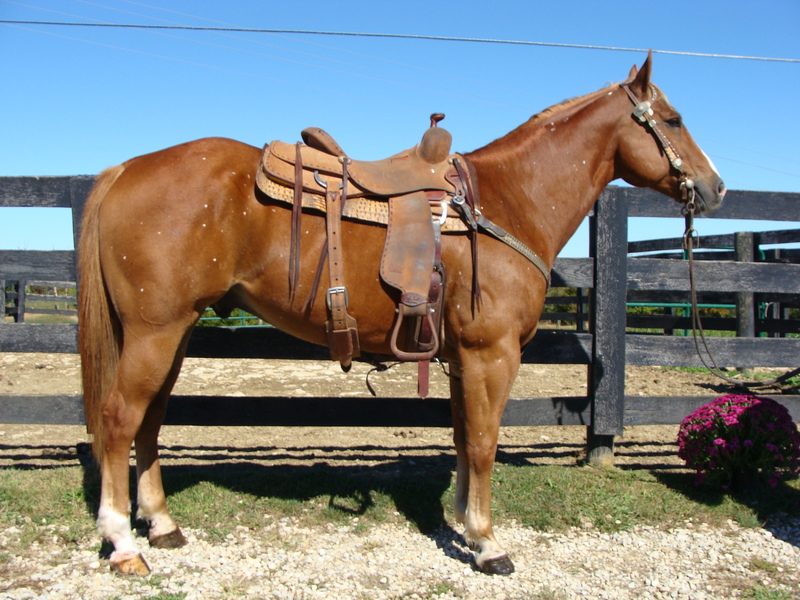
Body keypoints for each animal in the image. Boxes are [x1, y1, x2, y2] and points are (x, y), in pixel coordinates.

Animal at [78, 52, 725, 576]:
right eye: (673, 120)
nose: (716, 188)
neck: (506, 201)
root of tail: (126, 169)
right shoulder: (492, 354)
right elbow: (484, 442)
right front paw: (488, 545)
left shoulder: (462, 358)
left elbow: (464, 437)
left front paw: (466, 524)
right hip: (156, 333)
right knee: (118, 418)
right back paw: (123, 543)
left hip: (174, 333)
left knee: (150, 421)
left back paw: (161, 525)